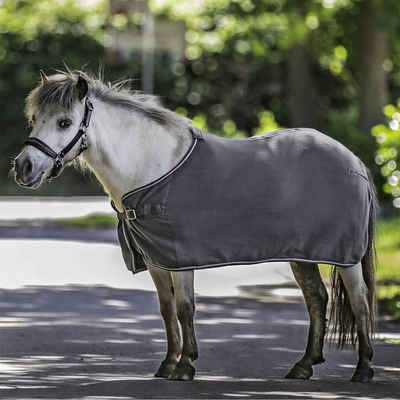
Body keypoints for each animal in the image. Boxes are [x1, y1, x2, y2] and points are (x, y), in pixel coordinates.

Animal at [11, 70, 376, 382]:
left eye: (65, 122)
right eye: (34, 119)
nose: (23, 167)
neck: (152, 167)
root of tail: (354, 161)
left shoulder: (179, 257)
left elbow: (185, 308)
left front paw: (185, 366)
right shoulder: (157, 261)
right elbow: (166, 309)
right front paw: (167, 364)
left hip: (346, 257)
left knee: (360, 301)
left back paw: (363, 369)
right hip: (303, 255)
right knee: (317, 299)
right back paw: (303, 366)